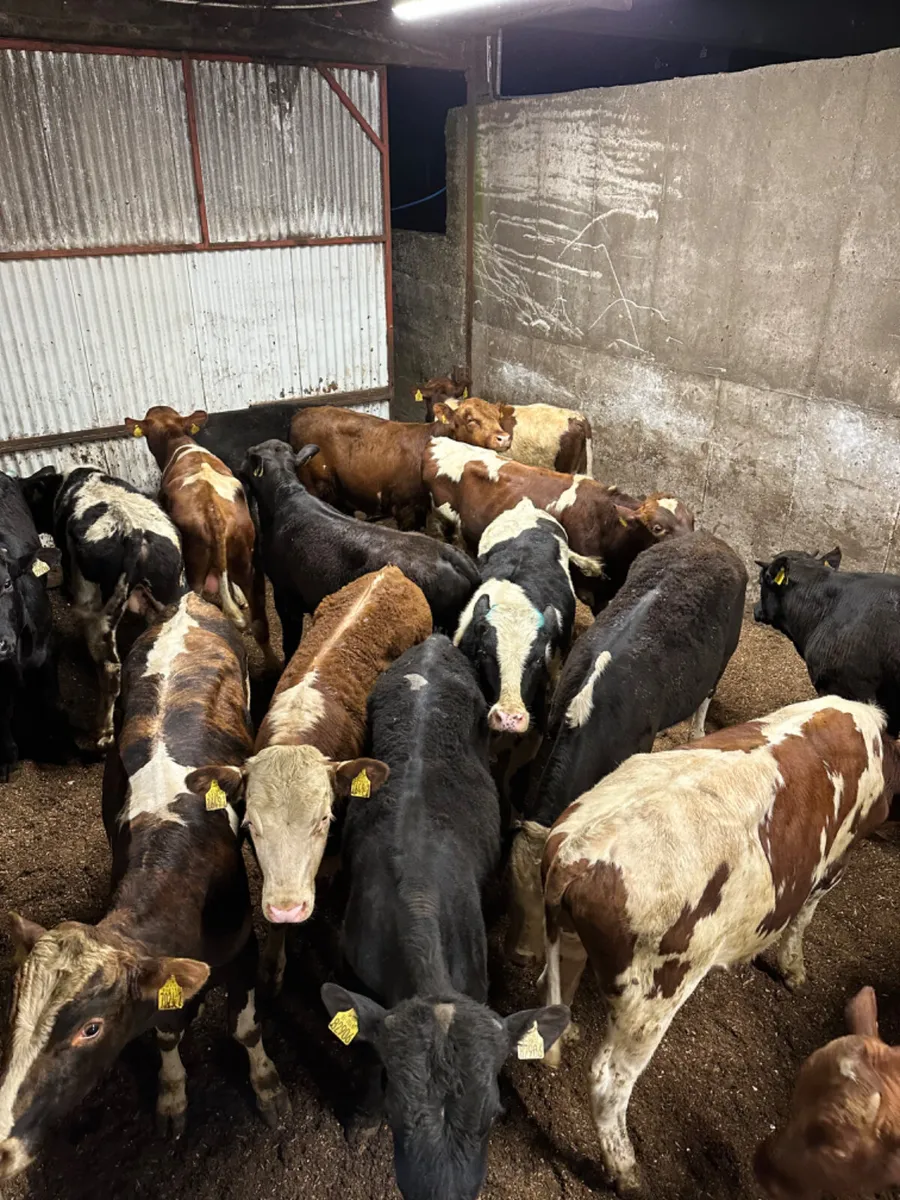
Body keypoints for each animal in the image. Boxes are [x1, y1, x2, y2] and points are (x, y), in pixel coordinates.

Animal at [0, 594, 288, 1183]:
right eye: (14, 1010)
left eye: (91, 1028)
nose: (2, 1147)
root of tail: (185, 601)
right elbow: (167, 1033)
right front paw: (172, 1095)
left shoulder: (242, 948)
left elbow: (246, 1028)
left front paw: (266, 1083)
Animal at [22, 465, 184, 748]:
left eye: (32, 492)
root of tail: (136, 534)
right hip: (168, 597)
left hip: (99, 616)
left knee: (109, 668)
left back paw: (102, 734)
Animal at [125, 406, 277, 669]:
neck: (179, 441)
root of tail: (212, 510)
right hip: (247, 560)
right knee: (259, 623)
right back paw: (274, 665)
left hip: (196, 568)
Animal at [289, 400, 512, 530]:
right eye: (470, 420)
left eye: (497, 416)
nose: (503, 438)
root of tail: (300, 413)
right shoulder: (405, 508)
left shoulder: (422, 507)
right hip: (315, 483)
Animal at [507, 531, 746, 966]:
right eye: (512, 890)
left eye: (550, 906)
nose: (519, 955)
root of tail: (711, 540)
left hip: (723, 659)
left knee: (706, 697)